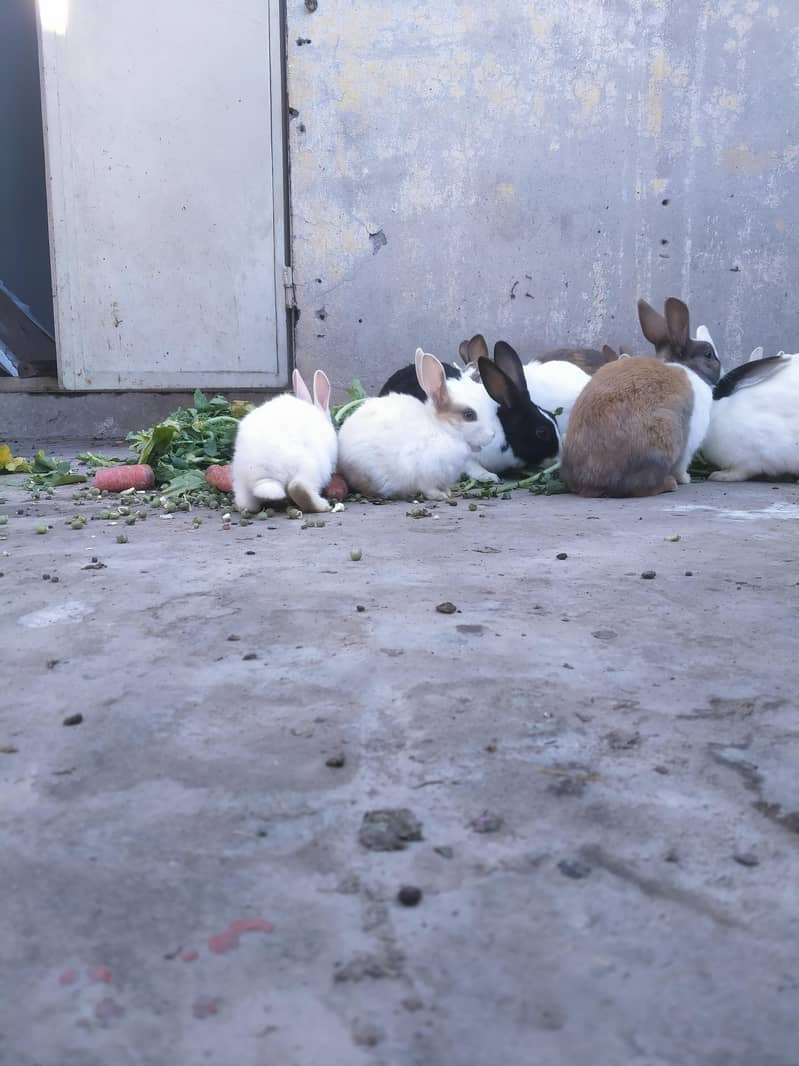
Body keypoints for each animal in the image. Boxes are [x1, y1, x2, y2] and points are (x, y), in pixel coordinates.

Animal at [232, 368, 337, 513]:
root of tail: (263, 478)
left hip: (240, 483)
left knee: (245, 504)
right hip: (309, 468)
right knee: (298, 487)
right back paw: (322, 505)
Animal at [338, 348, 495, 500]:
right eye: (469, 415)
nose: (492, 435)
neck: (443, 430)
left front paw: (447, 492)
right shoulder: (425, 474)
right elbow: (428, 488)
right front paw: (440, 496)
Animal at [560, 345, 721, 497]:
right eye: (709, 355)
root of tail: (588, 481)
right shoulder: (688, 447)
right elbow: (681, 466)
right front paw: (686, 479)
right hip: (664, 436)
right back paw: (670, 484)